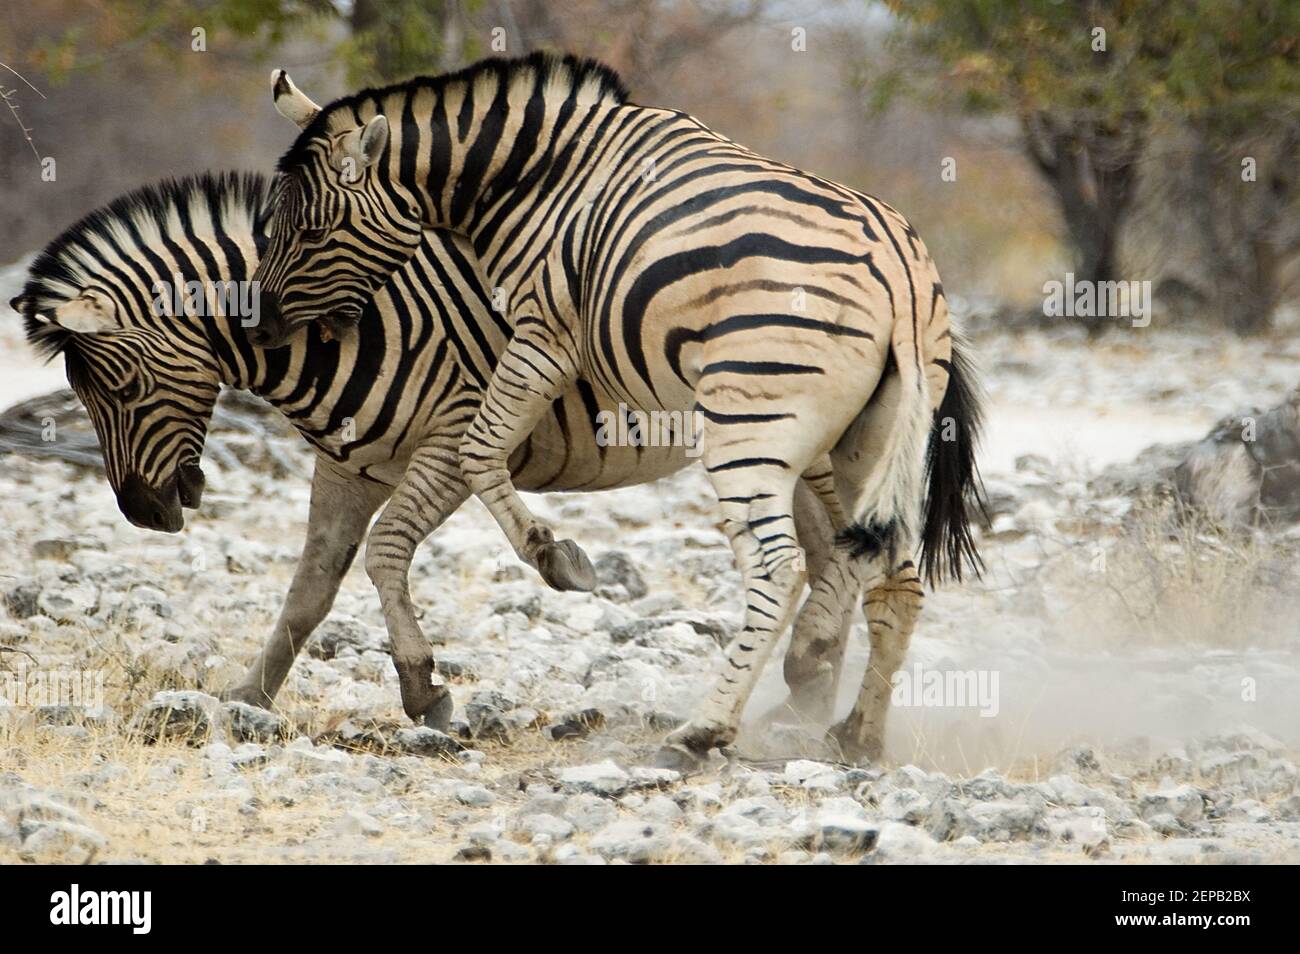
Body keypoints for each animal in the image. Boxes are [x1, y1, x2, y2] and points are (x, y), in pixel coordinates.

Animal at [7, 171, 956, 753]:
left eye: (119, 387)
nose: (144, 512)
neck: (339, 323)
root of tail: (904, 270)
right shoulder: (349, 464)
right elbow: (312, 586)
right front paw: (248, 697)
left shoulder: (451, 441)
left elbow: (386, 552)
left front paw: (424, 689)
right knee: (852, 563)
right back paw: (824, 711)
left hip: (793, 438)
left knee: (836, 562)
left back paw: (800, 699)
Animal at [248, 54, 982, 769]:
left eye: (311, 231)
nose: (258, 327)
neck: (535, 176)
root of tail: (903, 275)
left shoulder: (545, 332)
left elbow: (479, 449)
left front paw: (553, 556)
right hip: (868, 442)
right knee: (892, 577)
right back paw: (856, 735)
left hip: (751, 430)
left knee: (780, 568)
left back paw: (701, 733)